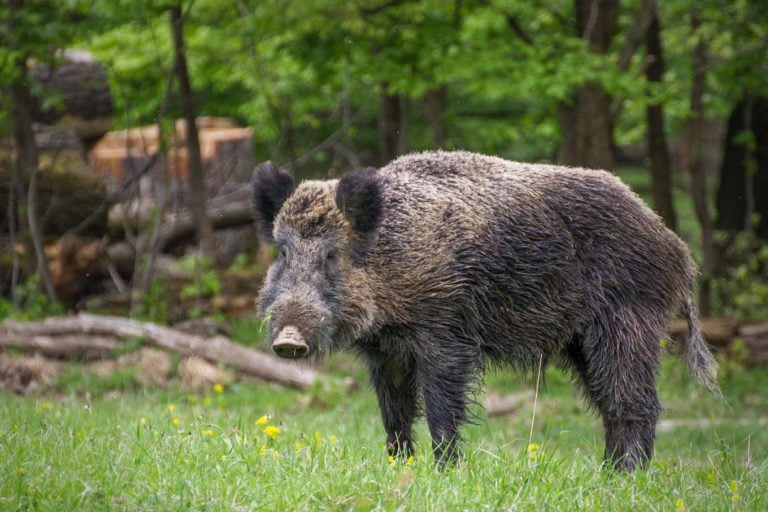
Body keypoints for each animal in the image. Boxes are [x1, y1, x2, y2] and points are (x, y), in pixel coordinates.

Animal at [252, 150, 719, 471]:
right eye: (282, 251)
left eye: (332, 254)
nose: (288, 340)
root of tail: (678, 249)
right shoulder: (386, 352)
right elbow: (394, 414)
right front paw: (399, 466)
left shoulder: (446, 334)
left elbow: (441, 409)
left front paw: (444, 472)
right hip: (581, 342)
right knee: (609, 403)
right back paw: (606, 472)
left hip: (627, 320)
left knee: (635, 401)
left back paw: (625, 476)